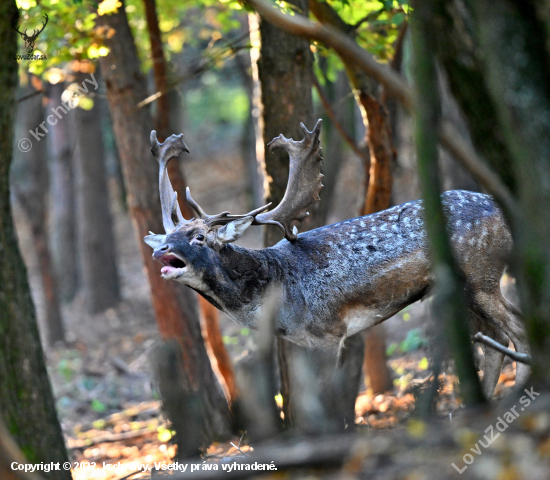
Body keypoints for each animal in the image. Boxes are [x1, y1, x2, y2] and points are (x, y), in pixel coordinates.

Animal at [143, 122, 532, 400]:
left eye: (199, 237)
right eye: (168, 235)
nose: (160, 250)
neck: (279, 294)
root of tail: (504, 209)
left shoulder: (330, 332)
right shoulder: (302, 345)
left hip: (481, 274)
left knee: (518, 330)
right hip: (463, 287)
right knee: (494, 340)